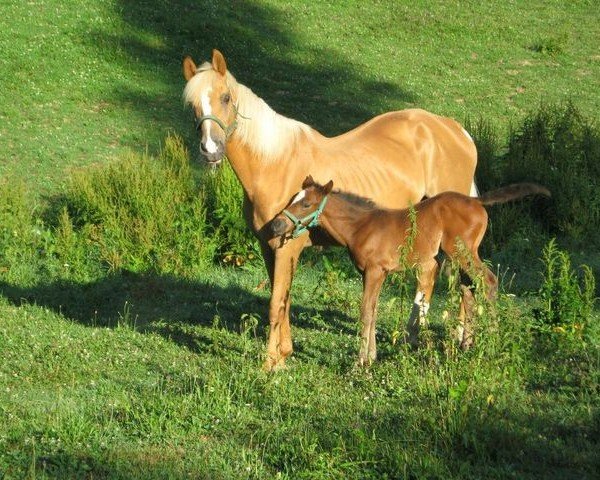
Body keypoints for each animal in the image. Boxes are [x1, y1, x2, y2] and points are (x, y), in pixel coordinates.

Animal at [182, 49, 478, 372]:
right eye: (192, 105)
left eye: (225, 97)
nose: (210, 150)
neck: (275, 164)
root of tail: (456, 131)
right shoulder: (268, 247)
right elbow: (282, 298)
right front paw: (284, 353)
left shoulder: (287, 246)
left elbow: (276, 303)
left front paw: (270, 363)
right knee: (431, 273)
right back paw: (418, 337)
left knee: (462, 280)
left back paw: (460, 341)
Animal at [272, 176, 548, 368]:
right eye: (291, 199)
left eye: (306, 203)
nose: (276, 225)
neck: (361, 226)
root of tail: (475, 201)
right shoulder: (372, 273)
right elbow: (374, 311)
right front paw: (372, 356)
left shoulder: (375, 271)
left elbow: (365, 312)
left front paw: (361, 361)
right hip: (459, 256)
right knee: (468, 290)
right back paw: (466, 345)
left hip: (462, 252)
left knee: (488, 281)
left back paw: (491, 340)